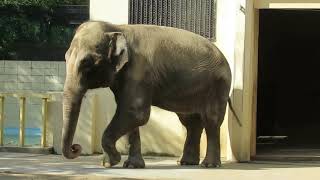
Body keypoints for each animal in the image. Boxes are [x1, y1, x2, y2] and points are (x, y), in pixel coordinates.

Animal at [62, 21, 238, 169]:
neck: (118, 27)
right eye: (65, 57)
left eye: (87, 63)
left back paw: (209, 165)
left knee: (211, 120)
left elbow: (135, 113)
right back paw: (186, 163)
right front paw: (131, 166)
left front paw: (110, 163)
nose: (76, 147)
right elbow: (130, 114)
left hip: (218, 86)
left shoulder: (139, 71)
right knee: (190, 121)